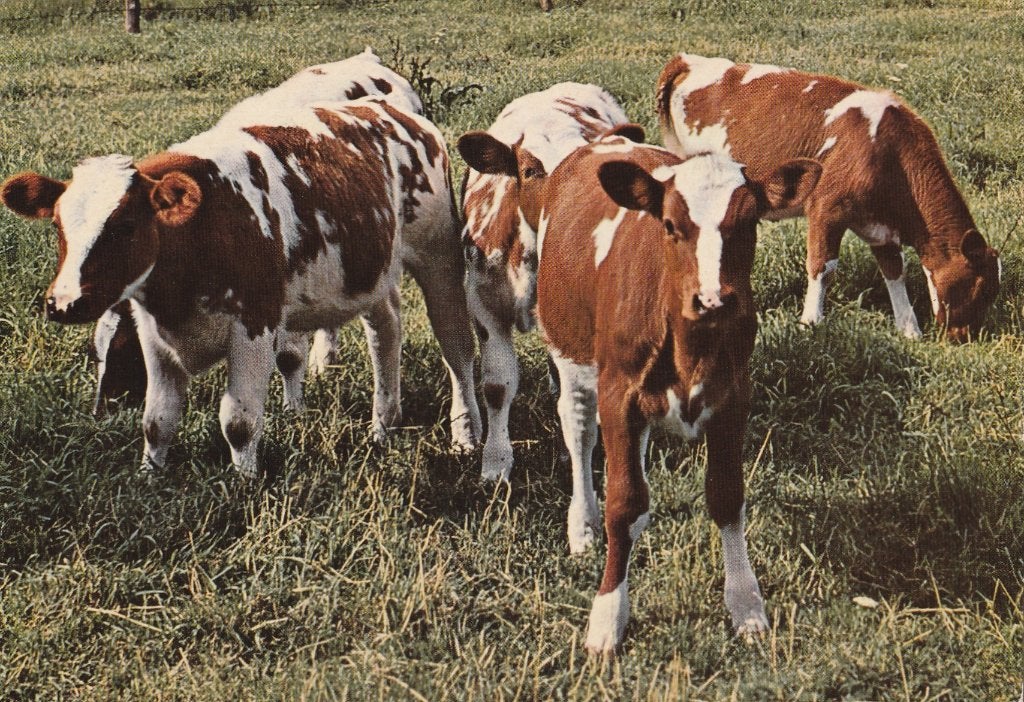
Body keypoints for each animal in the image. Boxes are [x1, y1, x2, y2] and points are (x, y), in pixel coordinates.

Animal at [0, 95, 482, 479]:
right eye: (58, 225)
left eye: (125, 226)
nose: (64, 303)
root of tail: (393, 110)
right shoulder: (155, 334)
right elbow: (157, 420)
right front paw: (149, 476)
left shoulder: (255, 324)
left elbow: (238, 421)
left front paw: (243, 482)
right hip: (372, 274)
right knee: (386, 333)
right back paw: (383, 424)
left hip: (438, 257)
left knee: (457, 348)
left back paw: (464, 434)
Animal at [88, 49, 422, 415]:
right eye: (95, 353)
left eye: (121, 348)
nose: (101, 409)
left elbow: (289, 356)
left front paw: (294, 410)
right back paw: (325, 360)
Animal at [532, 132, 820, 653]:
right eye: (670, 224)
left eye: (748, 223)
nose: (712, 299)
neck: (690, 347)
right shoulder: (618, 394)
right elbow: (622, 503)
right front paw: (607, 617)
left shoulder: (733, 397)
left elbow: (726, 496)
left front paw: (746, 606)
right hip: (568, 352)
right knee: (579, 431)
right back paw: (582, 524)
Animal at [657, 53, 1000, 342]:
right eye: (981, 289)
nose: (963, 337)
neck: (885, 149)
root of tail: (688, 60)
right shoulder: (826, 207)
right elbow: (822, 266)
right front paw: (810, 321)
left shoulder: (880, 225)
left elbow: (894, 270)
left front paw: (909, 329)